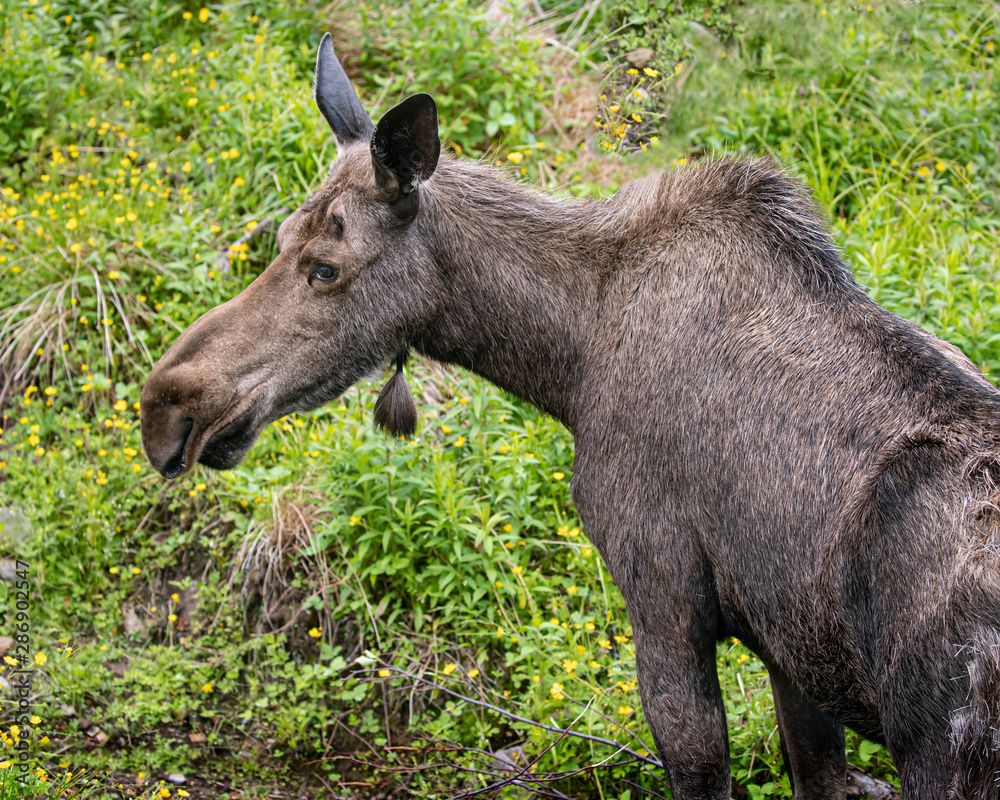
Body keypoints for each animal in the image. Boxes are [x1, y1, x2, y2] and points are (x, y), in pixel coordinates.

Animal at [140, 33, 1000, 799]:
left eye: (326, 266)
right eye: (282, 235)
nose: (166, 407)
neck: (569, 362)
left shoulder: (663, 602)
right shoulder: (790, 652)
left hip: (944, 755)